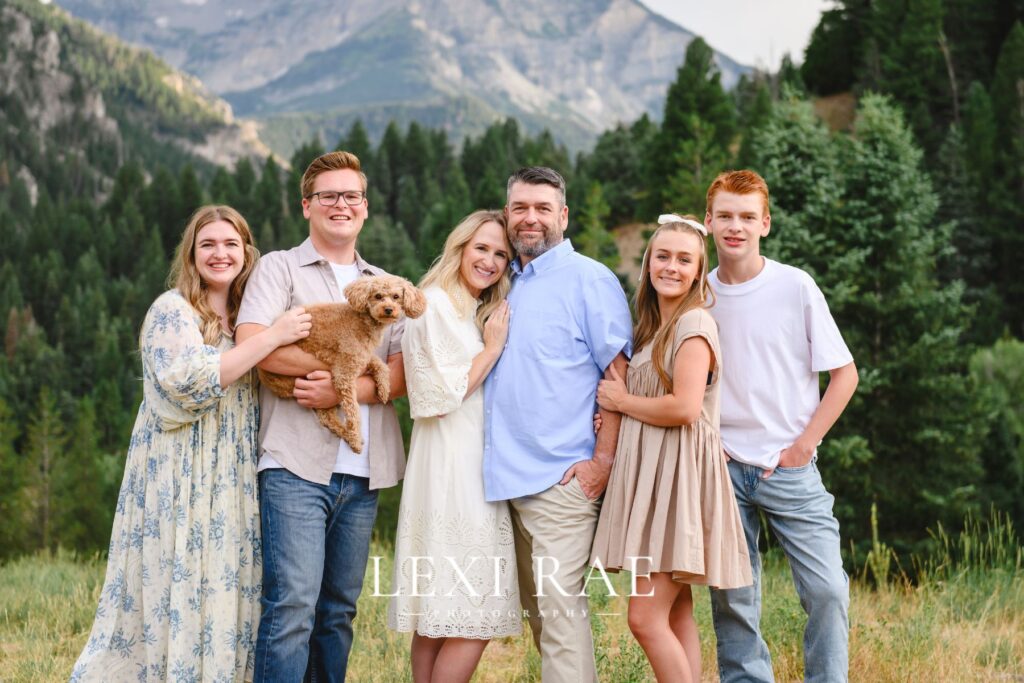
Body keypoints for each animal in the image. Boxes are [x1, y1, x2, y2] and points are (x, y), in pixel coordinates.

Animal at [264, 274, 428, 450]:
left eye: (396, 297)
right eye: (378, 296)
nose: (389, 309)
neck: (363, 321)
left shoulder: (362, 357)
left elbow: (380, 364)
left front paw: (384, 389)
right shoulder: (345, 373)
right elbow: (353, 410)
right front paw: (355, 438)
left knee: (326, 417)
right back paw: (352, 438)